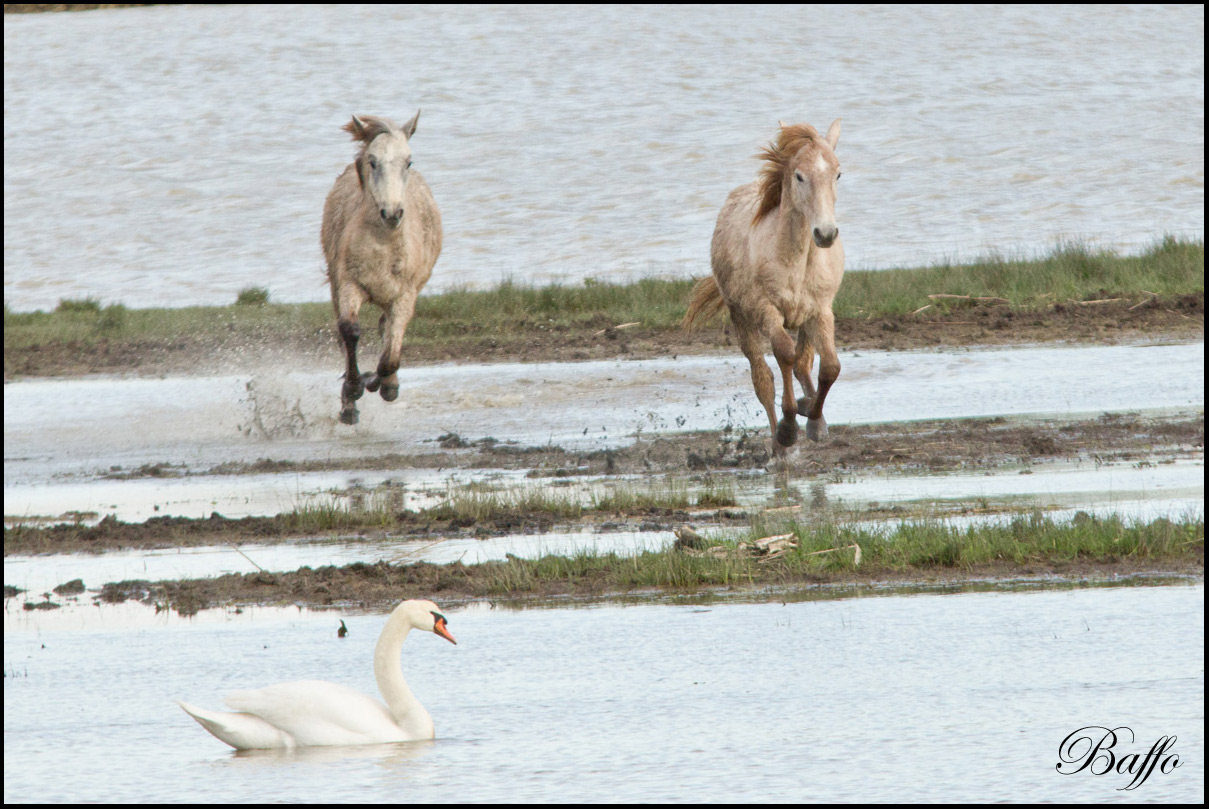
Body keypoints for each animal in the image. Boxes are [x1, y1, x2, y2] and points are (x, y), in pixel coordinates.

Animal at [321, 114, 444, 428]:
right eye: (373, 161)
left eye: (408, 161)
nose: (392, 213)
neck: (383, 244)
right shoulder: (349, 285)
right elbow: (350, 331)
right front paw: (354, 389)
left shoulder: (404, 296)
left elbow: (390, 355)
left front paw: (383, 384)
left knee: (386, 330)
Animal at [686, 119, 846, 454]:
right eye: (799, 176)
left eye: (837, 173)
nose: (825, 234)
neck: (795, 262)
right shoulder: (766, 310)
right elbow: (783, 355)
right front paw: (788, 428)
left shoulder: (821, 312)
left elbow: (829, 367)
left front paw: (814, 421)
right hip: (741, 317)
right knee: (763, 378)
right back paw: (780, 448)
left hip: (804, 319)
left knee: (804, 363)